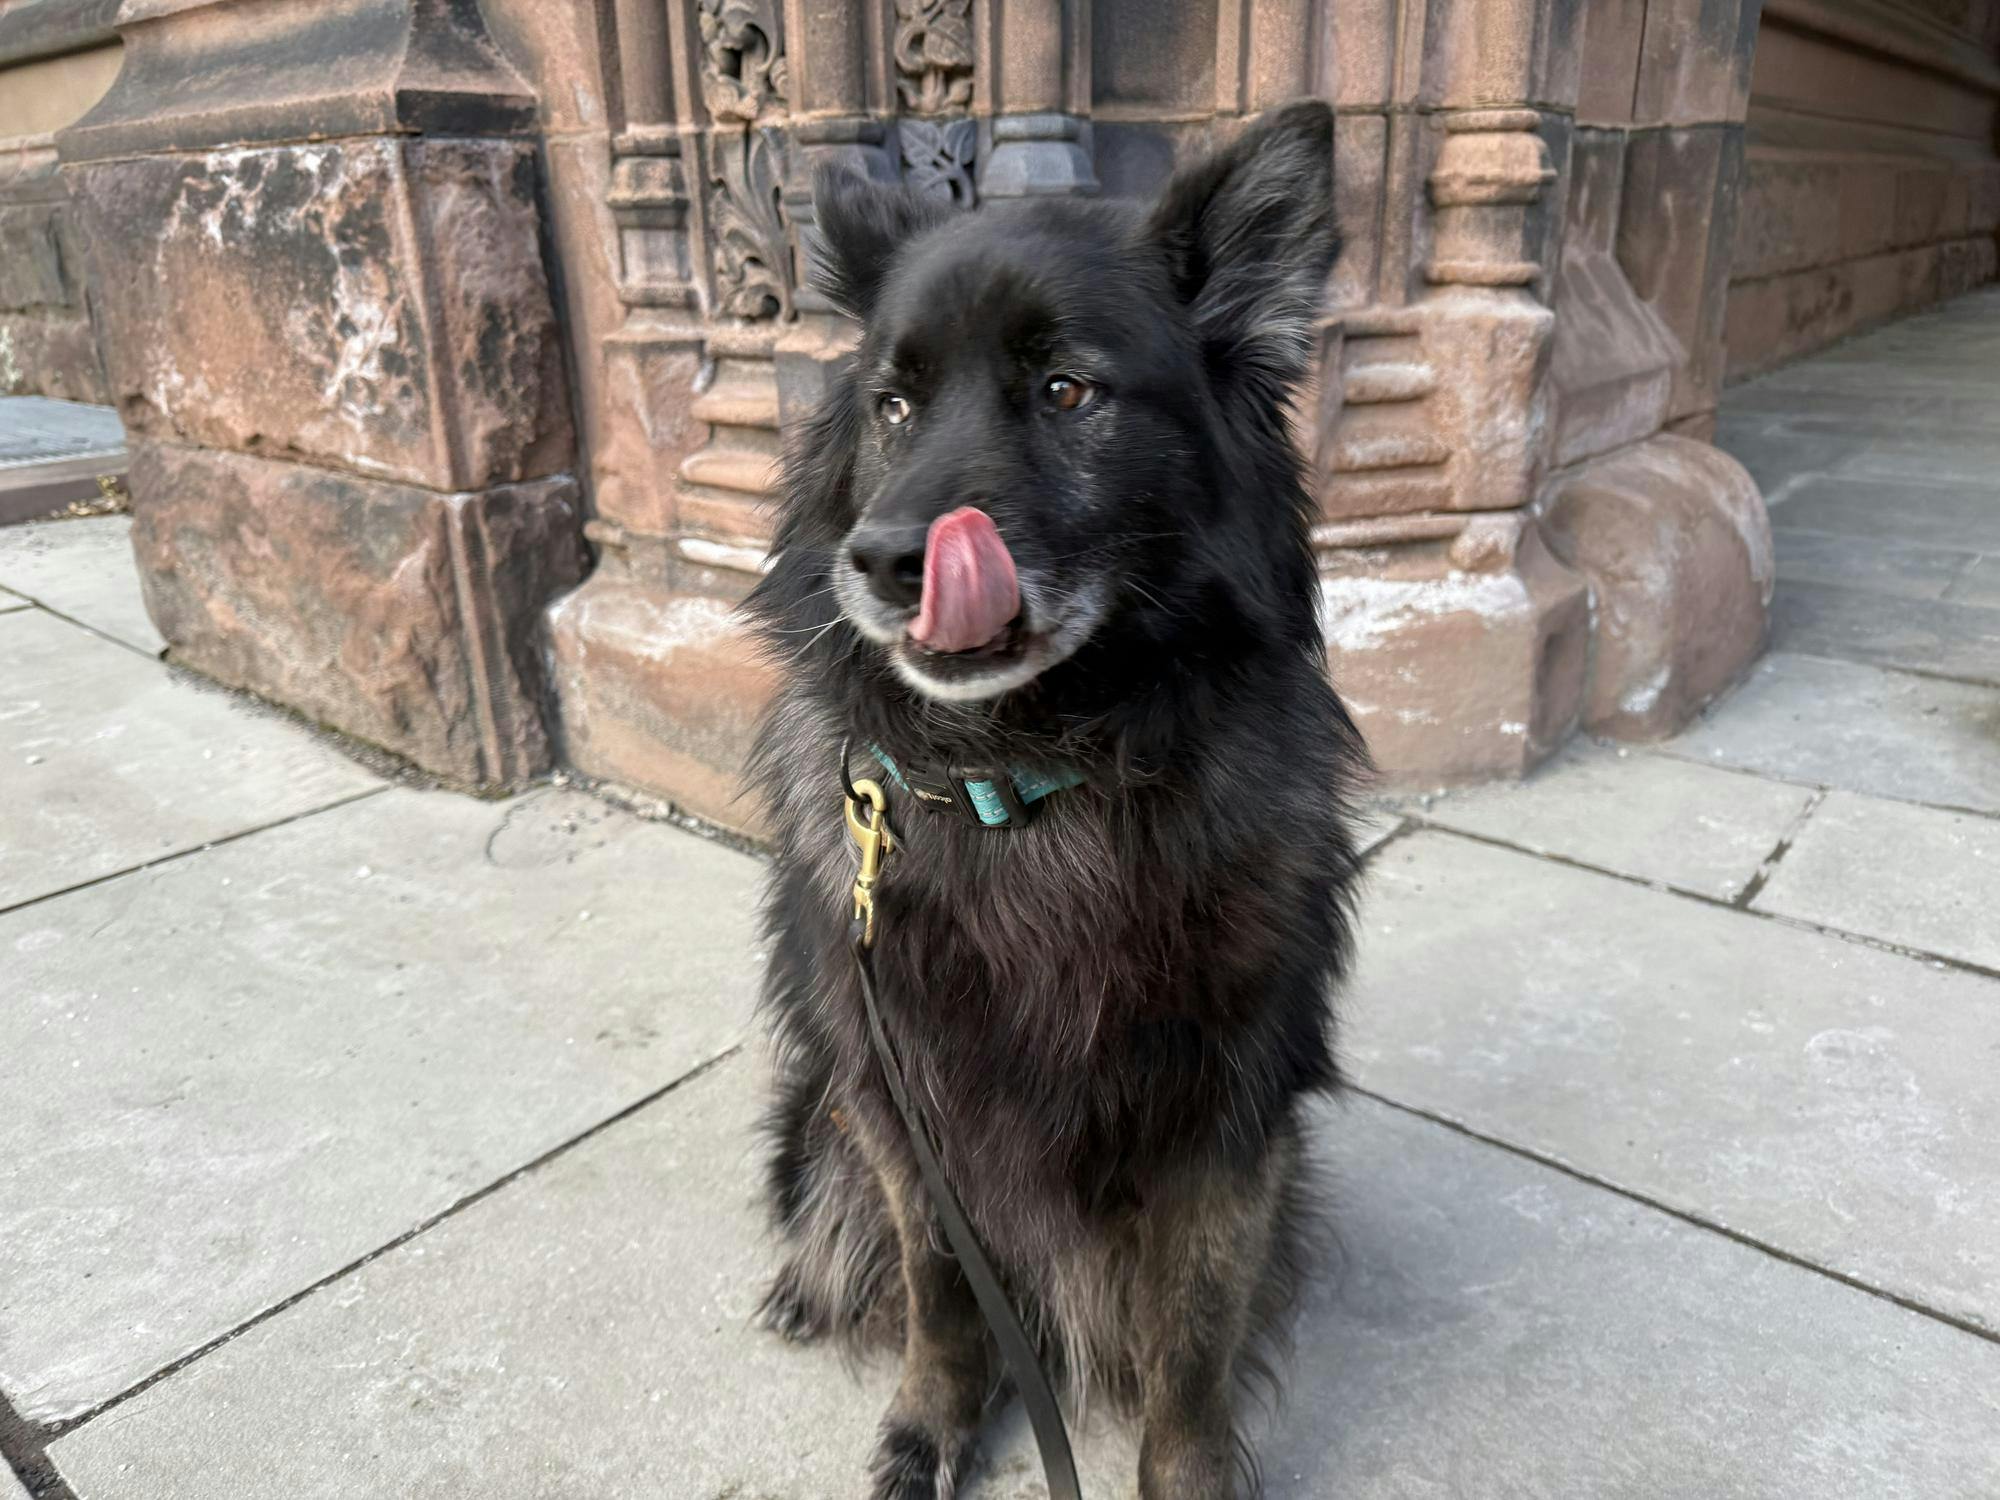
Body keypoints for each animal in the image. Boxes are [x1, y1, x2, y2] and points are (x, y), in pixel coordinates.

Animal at [744, 106, 1368, 1500]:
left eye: (1066, 391)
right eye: (893, 404)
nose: (882, 559)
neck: (1029, 783)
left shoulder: (1223, 1119)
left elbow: (1188, 1350)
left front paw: (1187, 1475)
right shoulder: (903, 1108)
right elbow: (939, 1296)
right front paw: (931, 1425)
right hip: (821, 1109)